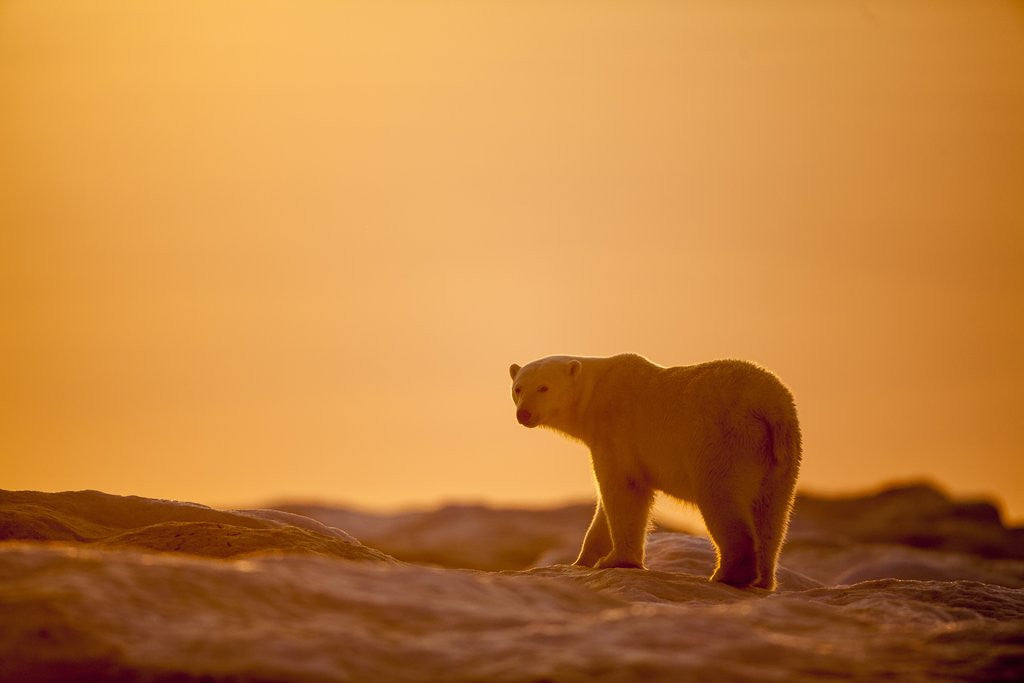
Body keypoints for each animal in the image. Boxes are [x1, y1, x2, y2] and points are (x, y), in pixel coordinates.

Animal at [508, 354, 801, 590]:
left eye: (544, 387)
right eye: (518, 388)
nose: (524, 414)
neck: (596, 392)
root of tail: (772, 407)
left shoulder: (617, 429)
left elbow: (623, 490)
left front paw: (616, 560)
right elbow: (606, 504)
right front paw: (583, 560)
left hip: (725, 441)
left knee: (721, 497)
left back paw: (728, 575)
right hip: (781, 459)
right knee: (772, 513)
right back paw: (764, 580)